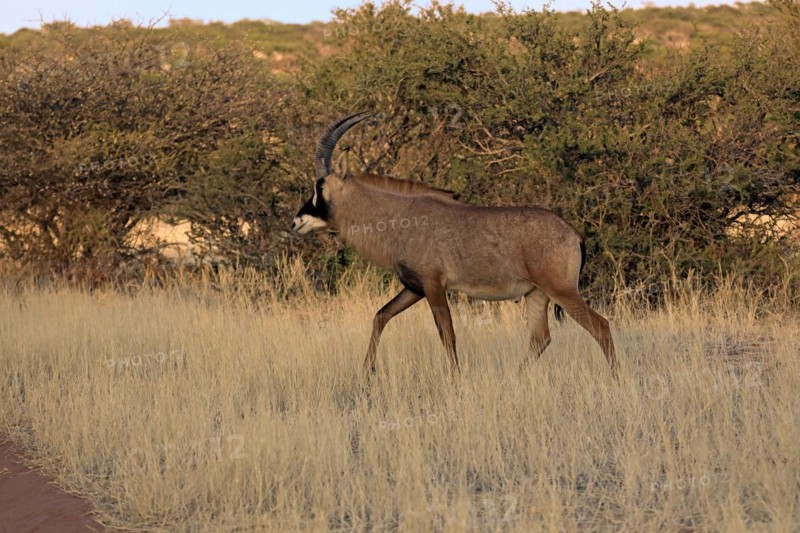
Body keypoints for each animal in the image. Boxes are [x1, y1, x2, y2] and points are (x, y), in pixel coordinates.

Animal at [292, 112, 617, 377]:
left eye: (320, 187)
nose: (297, 222)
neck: (401, 216)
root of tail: (573, 234)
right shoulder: (414, 288)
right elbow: (380, 316)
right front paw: (367, 372)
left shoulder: (434, 286)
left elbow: (447, 333)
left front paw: (455, 378)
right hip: (536, 295)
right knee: (540, 338)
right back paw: (514, 378)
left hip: (562, 291)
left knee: (600, 326)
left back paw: (615, 379)